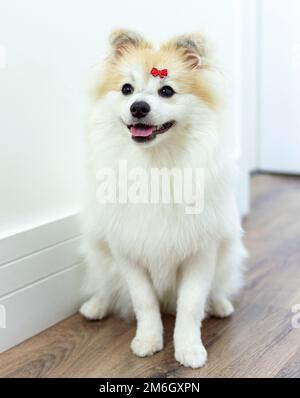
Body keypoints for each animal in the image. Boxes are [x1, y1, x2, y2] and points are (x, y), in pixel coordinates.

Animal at [79, 29, 246, 368]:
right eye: (127, 89)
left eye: (167, 91)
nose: (139, 107)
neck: (156, 164)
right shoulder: (127, 250)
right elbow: (143, 301)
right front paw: (148, 339)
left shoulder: (201, 252)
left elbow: (191, 305)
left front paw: (189, 348)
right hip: (98, 251)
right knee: (104, 282)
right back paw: (96, 305)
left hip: (226, 255)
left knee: (218, 286)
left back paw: (220, 304)